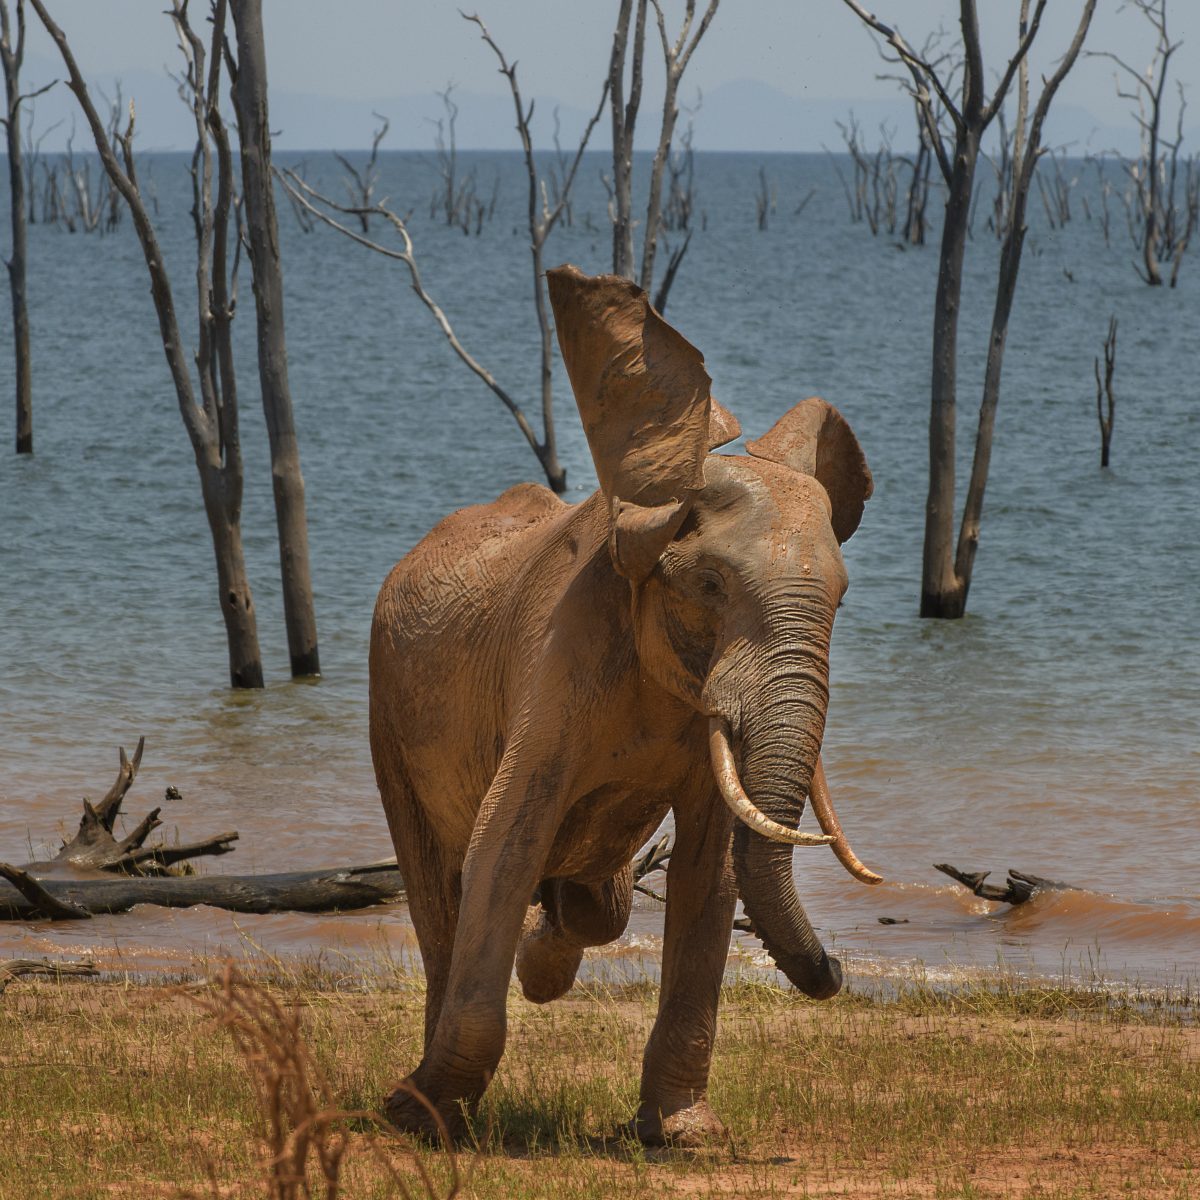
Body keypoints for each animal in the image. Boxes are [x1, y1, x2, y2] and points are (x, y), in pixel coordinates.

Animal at [369, 262, 888, 1142]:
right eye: (709, 585)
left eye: (843, 600)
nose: (838, 969)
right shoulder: (560, 656)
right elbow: (504, 842)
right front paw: (420, 1116)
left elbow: (711, 870)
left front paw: (684, 1135)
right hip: (385, 712)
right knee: (437, 891)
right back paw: (423, 1104)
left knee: (592, 904)